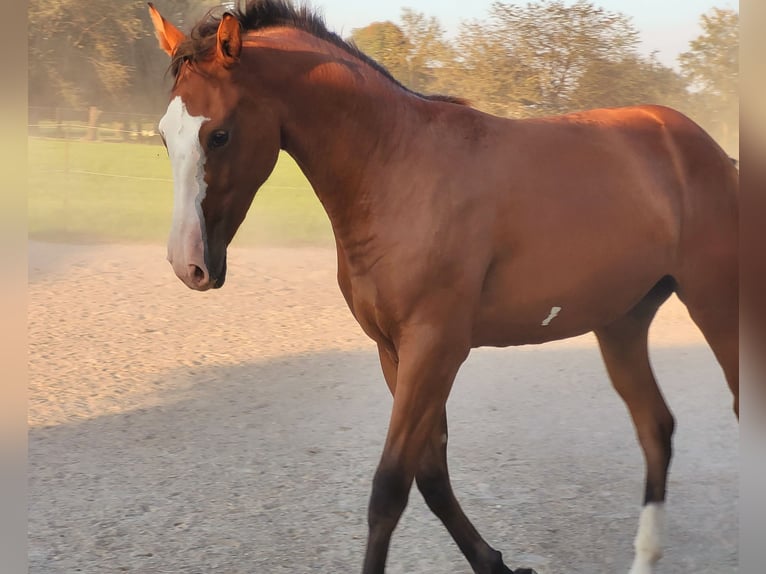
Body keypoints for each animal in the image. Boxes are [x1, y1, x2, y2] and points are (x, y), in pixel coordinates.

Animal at [147, 2, 740, 572]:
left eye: (219, 133)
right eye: (164, 135)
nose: (187, 264)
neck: (396, 168)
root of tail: (710, 151)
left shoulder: (434, 349)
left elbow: (389, 488)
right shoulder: (394, 352)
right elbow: (430, 476)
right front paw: (493, 562)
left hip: (718, 310)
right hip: (622, 324)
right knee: (655, 428)